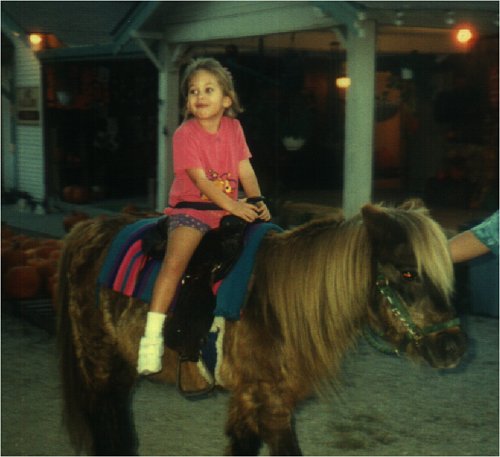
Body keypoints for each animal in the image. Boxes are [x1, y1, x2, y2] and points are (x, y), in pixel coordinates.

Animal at [56, 200, 466, 452]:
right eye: (408, 272)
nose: (453, 348)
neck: (280, 306)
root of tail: (86, 230)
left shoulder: (249, 400)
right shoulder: (271, 405)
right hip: (101, 367)